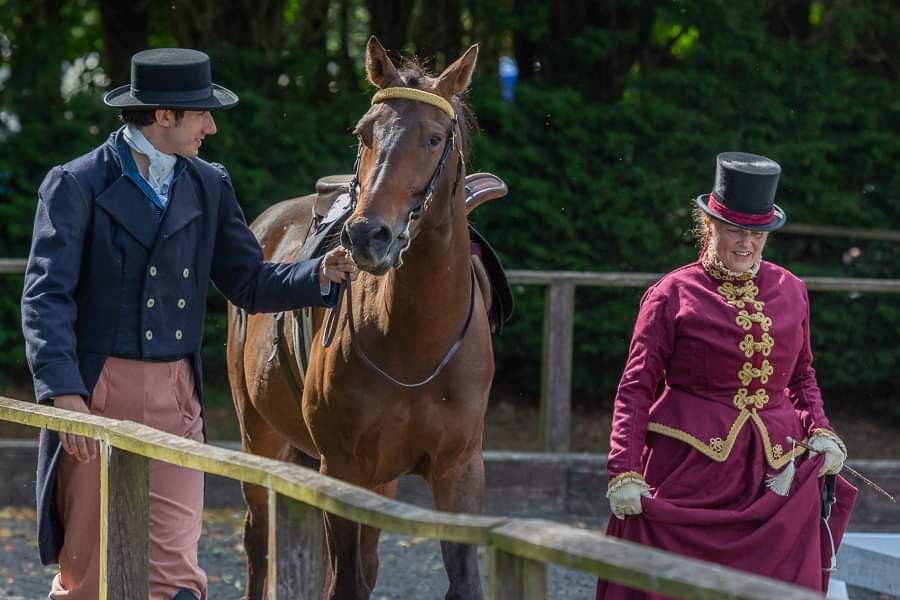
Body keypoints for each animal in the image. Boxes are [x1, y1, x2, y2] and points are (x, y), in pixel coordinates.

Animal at [225, 38, 492, 600]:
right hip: (258, 432)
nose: (369, 235)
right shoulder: (343, 466)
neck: (415, 344)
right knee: (258, 541)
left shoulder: (459, 470)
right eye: (363, 133)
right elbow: (344, 578)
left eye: (434, 138)